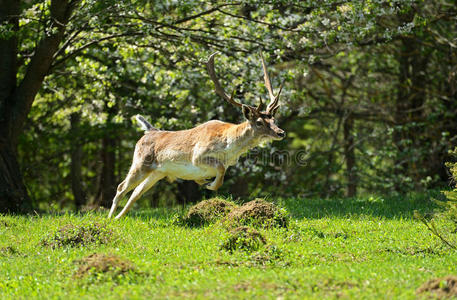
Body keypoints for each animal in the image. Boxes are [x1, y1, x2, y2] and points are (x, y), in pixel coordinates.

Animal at [108, 52, 284, 219]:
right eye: (259, 122)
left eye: (273, 119)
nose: (281, 132)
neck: (229, 148)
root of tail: (149, 131)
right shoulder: (198, 155)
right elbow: (220, 171)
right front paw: (209, 185)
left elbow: (218, 173)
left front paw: (204, 182)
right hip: (140, 162)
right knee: (121, 187)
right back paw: (109, 218)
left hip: (158, 172)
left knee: (136, 192)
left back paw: (118, 217)